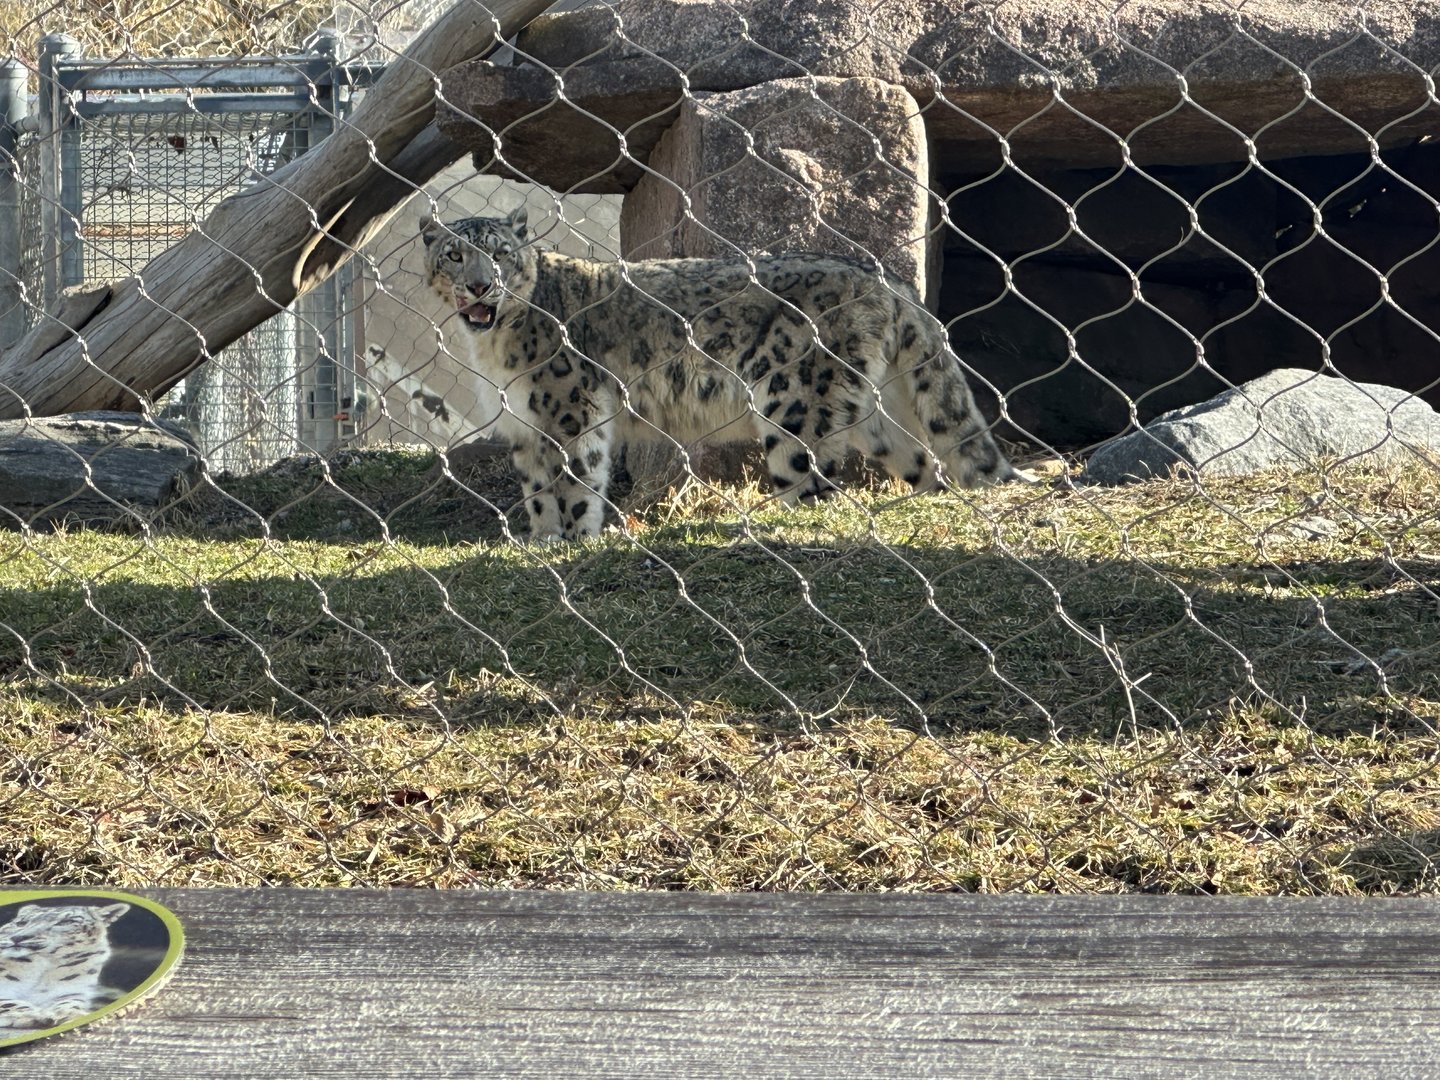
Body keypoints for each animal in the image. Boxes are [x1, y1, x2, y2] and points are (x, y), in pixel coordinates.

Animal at [422, 207, 1020, 541]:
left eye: (500, 253)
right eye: (453, 255)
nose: (479, 285)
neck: (493, 349)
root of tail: (886, 280)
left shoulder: (571, 409)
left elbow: (574, 482)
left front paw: (573, 539)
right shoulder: (525, 427)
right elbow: (537, 490)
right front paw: (541, 540)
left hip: (795, 404)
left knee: (812, 484)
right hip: (877, 412)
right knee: (926, 462)